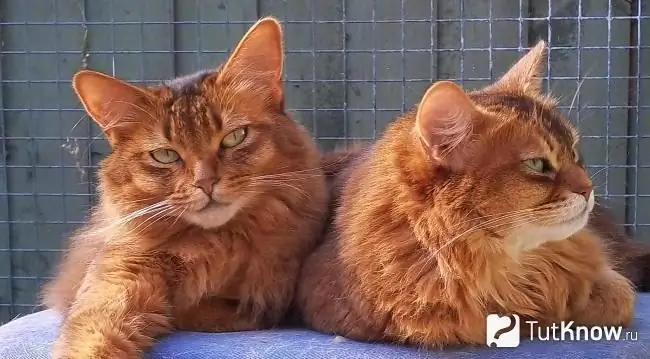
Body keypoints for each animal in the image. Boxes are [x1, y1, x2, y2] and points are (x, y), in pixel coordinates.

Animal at [43, 17, 326, 359]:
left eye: (235, 137)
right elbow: (92, 336)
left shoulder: (270, 295)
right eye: (165, 155)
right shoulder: (120, 272)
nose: (206, 183)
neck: (214, 245)